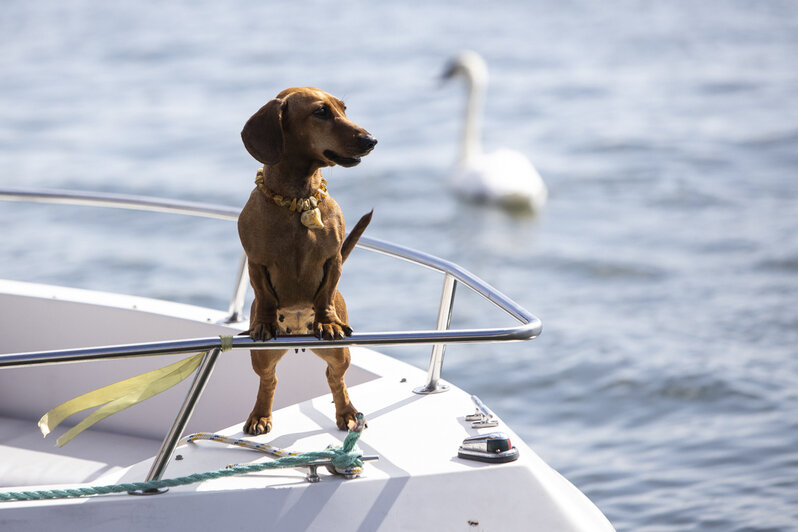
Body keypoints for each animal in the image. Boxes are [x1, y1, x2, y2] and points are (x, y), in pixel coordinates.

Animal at [238, 87, 378, 434]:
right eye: (321, 112)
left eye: (343, 108)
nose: (371, 140)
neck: (298, 199)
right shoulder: (255, 261)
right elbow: (264, 294)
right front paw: (265, 322)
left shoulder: (333, 259)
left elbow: (325, 292)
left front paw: (327, 321)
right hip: (261, 359)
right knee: (269, 381)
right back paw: (260, 415)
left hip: (339, 354)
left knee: (335, 377)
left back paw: (347, 412)